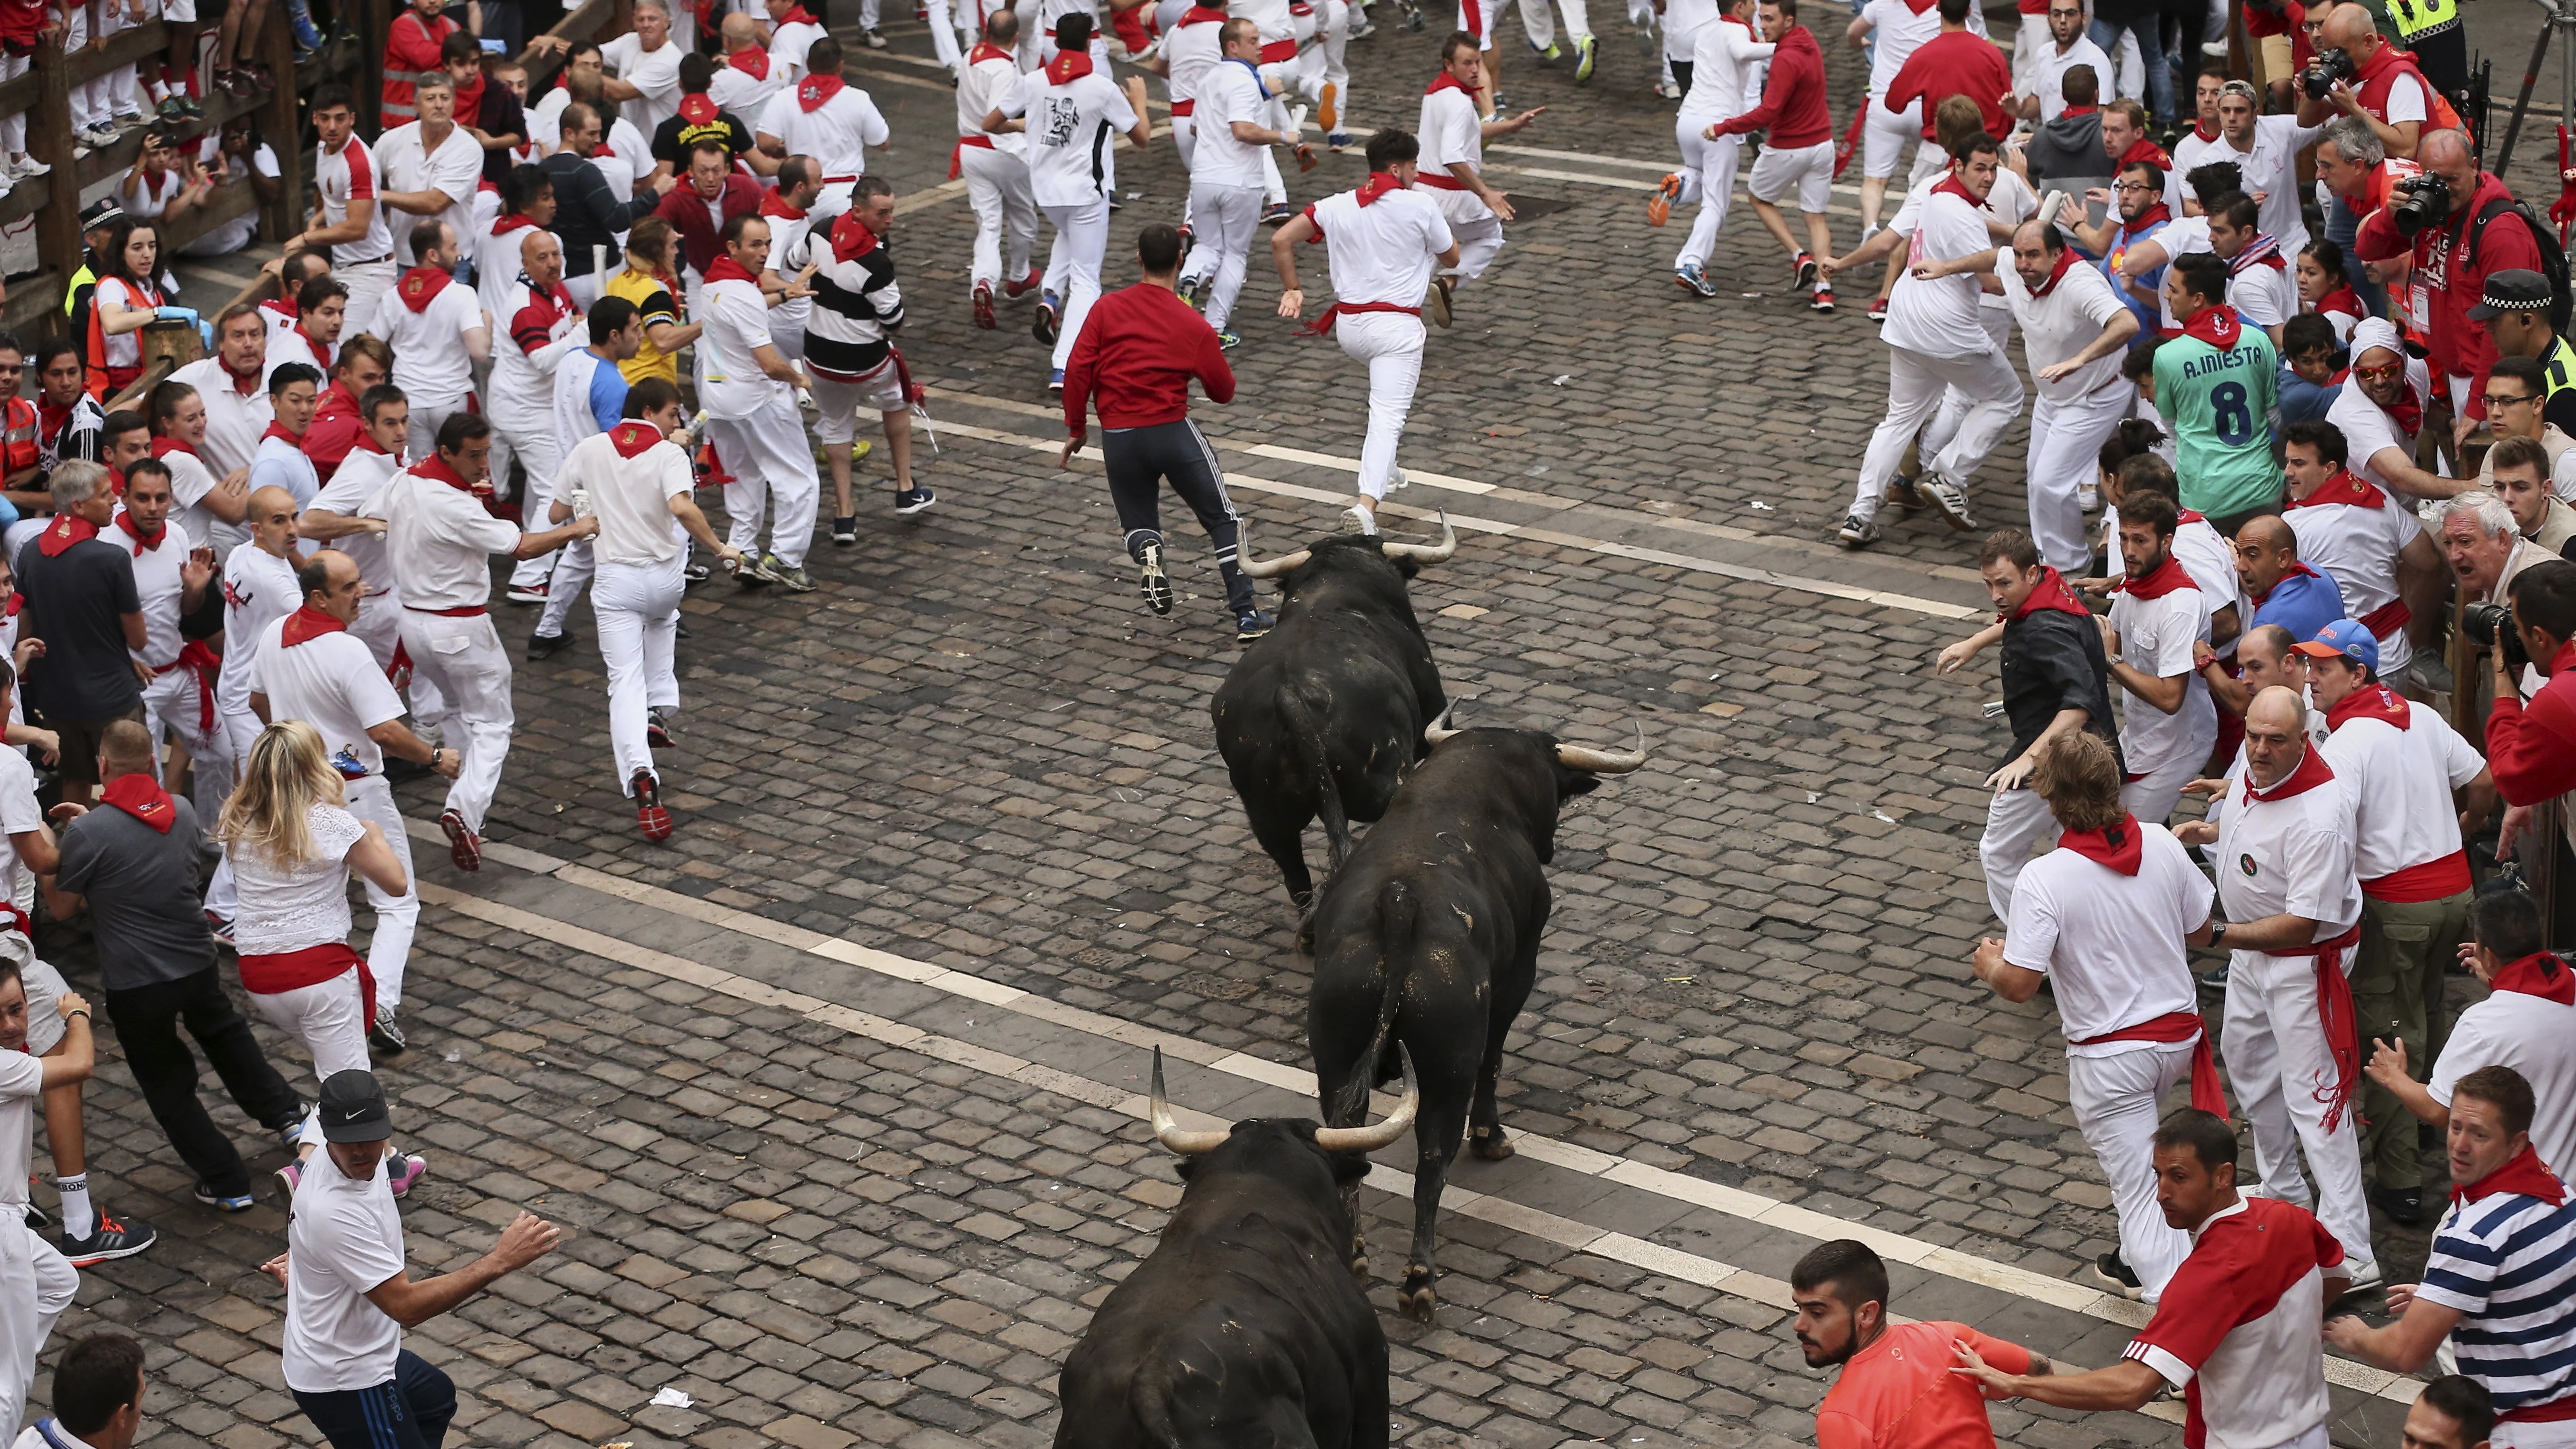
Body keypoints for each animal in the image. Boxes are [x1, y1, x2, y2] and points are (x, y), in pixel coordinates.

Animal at [1298, 717, 1638, 1315]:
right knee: (1433, 1160)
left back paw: (1358, 1253)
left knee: (1346, 1139)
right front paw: (1492, 1135)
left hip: (1335, 1058)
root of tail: (1399, 902)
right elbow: (1494, 1059)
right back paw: (1419, 1279)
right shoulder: (1518, 973)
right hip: (1445, 1069)